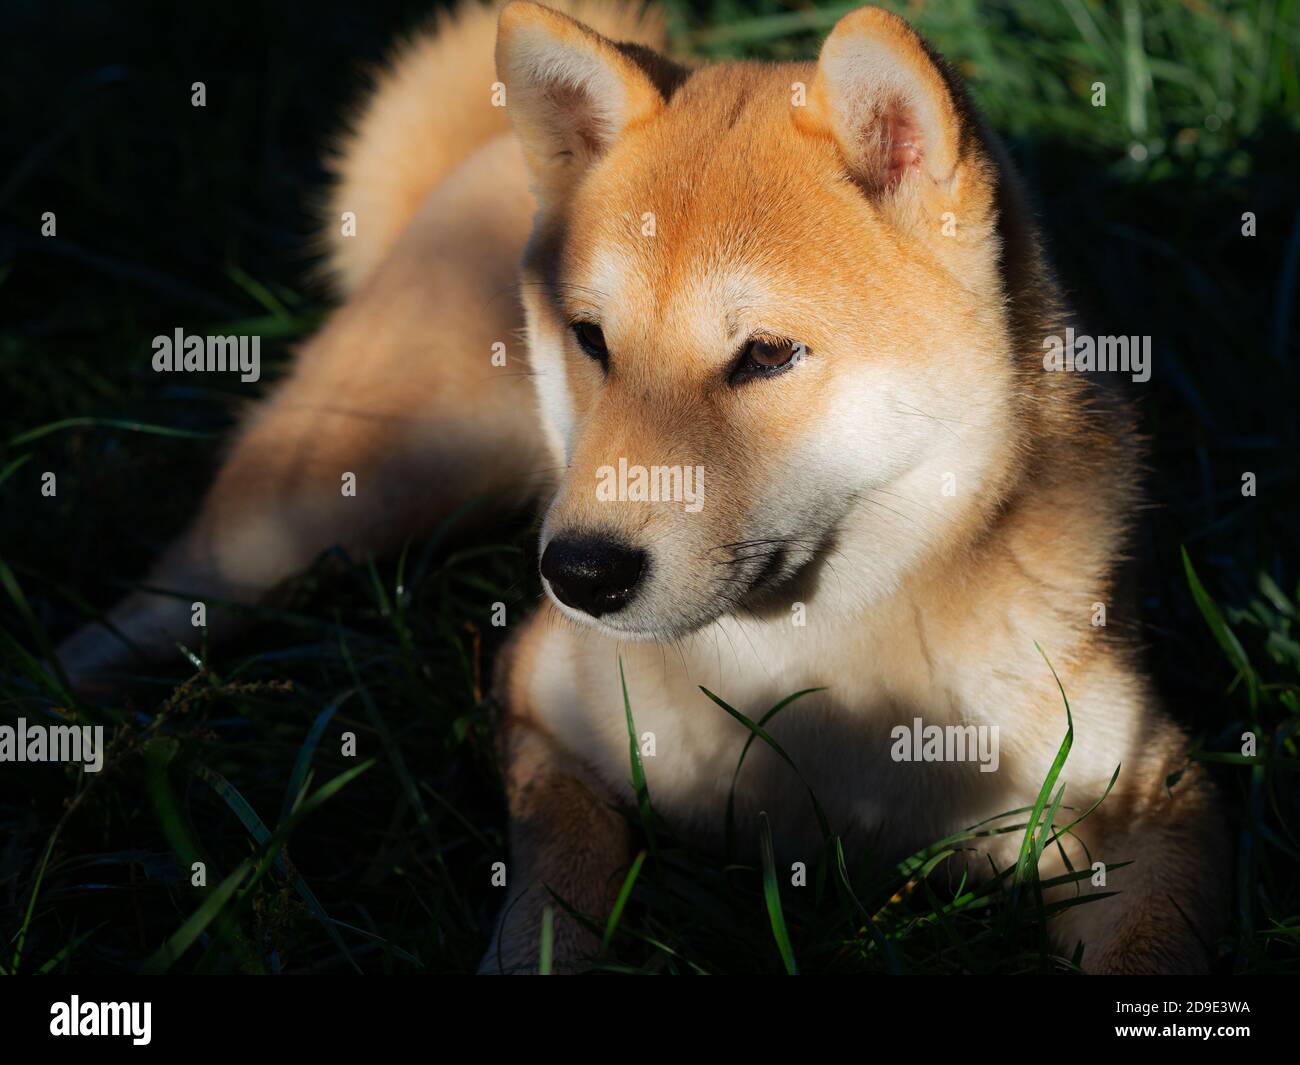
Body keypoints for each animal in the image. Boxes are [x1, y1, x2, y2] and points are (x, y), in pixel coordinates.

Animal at [61, 0, 1227, 972]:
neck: (818, 682)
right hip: (315, 508)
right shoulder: (539, 702)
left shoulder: (1149, 801)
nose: (578, 573)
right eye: (592, 340)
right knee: (143, 614)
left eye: (767, 356)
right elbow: (558, 886)